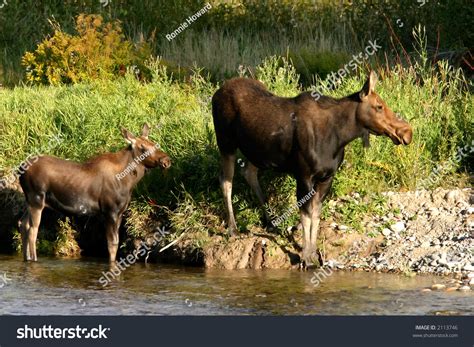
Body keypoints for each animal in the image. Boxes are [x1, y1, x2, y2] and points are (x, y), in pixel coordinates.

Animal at [18, 125, 170, 264]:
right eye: (143, 147)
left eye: (154, 144)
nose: (166, 160)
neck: (128, 181)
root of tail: (19, 170)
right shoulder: (110, 211)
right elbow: (112, 244)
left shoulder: (120, 212)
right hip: (37, 199)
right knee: (32, 229)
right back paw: (34, 260)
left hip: (29, 200)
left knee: (23, 224)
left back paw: (26, 258)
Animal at [213, 70, 412, 266]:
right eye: (379, 106)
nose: (407, 132)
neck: (339, 138)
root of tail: (216, 92)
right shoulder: (304, 176)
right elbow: (306, 214)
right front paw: (306, 257)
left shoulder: (326, 177)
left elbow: (316, 214)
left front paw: (314, 253)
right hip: (226, 143)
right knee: (226, 180)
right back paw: (233, 229)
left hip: (256, 151)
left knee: (249, 172)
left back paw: (271, 222)